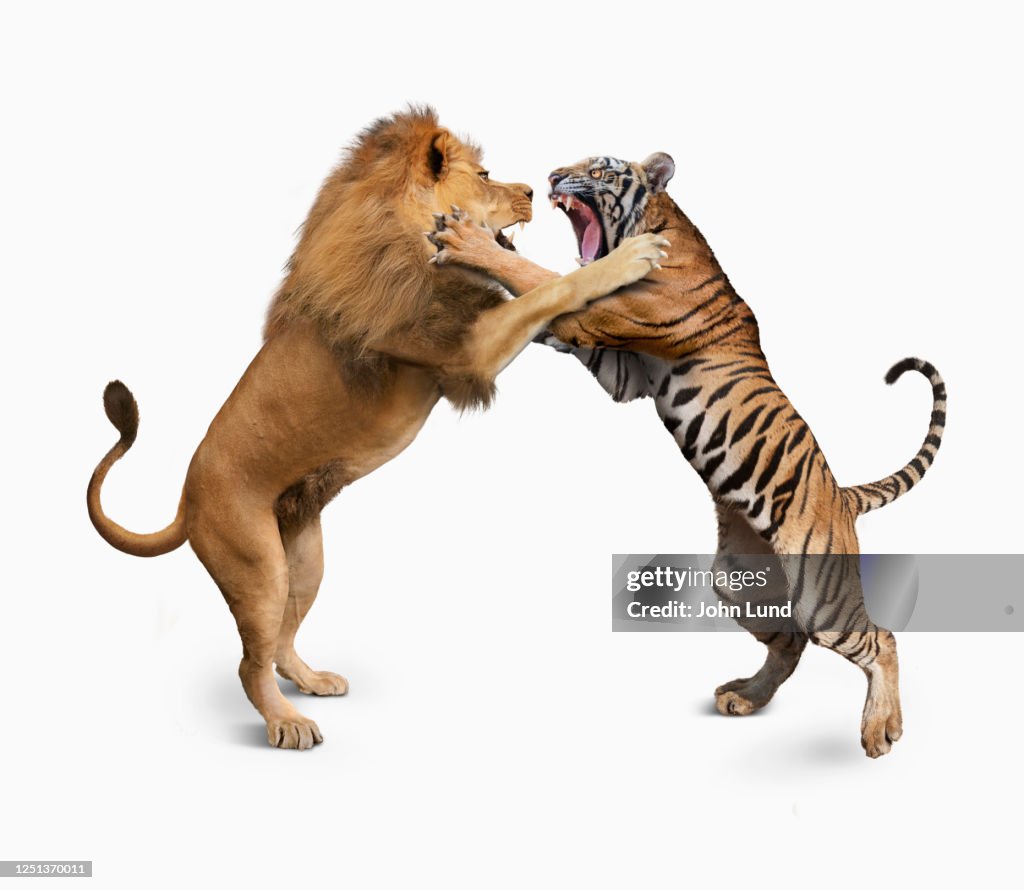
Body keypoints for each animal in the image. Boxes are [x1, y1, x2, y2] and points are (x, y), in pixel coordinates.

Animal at [86, 107, 669, 749]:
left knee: (281, 642)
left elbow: (535, 286)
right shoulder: (463, 350)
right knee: (249, 660)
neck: (402, 228)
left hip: (305, 560)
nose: (531, 192)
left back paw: (311, 682)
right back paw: (287, 722)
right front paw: (631, 257)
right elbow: (551, 287)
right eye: (485, 175)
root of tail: (186, 501)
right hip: (256, 564)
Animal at [427, 152, 946, 758]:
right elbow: (545, 291)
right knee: (789, 641)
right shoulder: (621, 371)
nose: (553, 177)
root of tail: (842, 496)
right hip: (740, 580)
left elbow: (548, 280)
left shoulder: (601, 317)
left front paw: (470, 242)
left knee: (879, 639)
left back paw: (881, 728)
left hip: (821, 589)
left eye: (599, 171)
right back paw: (746, 697)